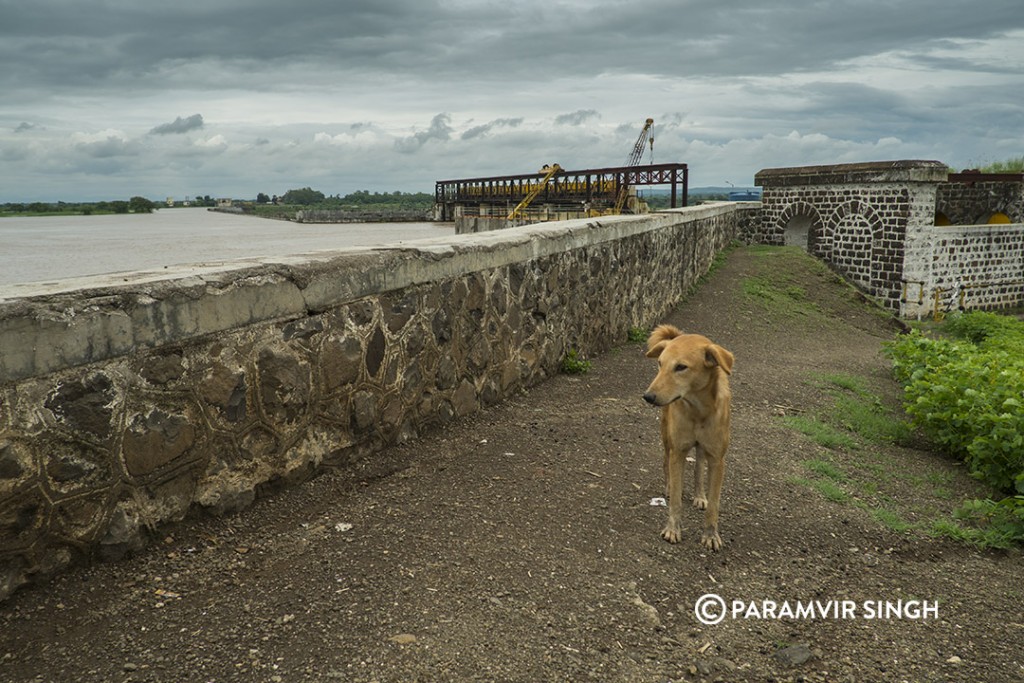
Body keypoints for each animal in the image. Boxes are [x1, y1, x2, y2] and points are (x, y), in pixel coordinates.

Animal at [638, 325, 737, 548]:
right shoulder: (678, 451)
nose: (648, 396)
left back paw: (700, 495)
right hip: (667, 437)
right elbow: (675, 499)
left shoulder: (718, 459)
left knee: (699, 467)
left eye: (681, 367)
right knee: (665, 462)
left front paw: (710, 535)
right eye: (660, 363)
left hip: (702, 447)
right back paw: (668, 486)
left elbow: (714, 503)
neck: (698, 410)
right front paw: (672, 529)